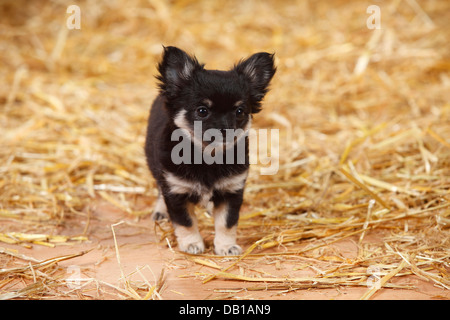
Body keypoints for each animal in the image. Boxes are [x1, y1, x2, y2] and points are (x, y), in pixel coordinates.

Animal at [146, 46, 276, 255]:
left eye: (239, 111)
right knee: (159, 188)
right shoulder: (175, 190)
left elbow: (226, 223)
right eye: (202, 111)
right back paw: (160, 210)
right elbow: (186, 222)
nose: (225, 129)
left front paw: (226, 246)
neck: (207, 156)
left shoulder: (232, 190)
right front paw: (192, 244)